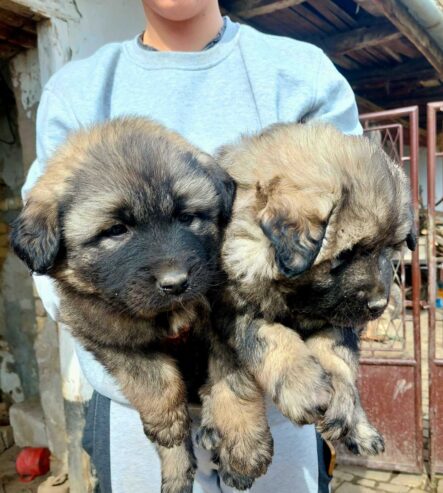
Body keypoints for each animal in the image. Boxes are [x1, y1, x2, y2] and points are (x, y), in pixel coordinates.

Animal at [11, 116, 236, 492]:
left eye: (186, 217)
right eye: (116, 230)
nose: (176, 283)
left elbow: (229, 376)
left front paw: (245, 444)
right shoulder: (104, 333)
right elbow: (151, 376)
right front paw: (167, 422)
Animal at [198, 122, 416, 488]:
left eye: (389, 250)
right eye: (345, 255)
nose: (379, 305)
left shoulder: (335, 316)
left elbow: (336, 354)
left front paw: (342, 399)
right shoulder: (230, 311)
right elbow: (257, 349)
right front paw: (298, 386)